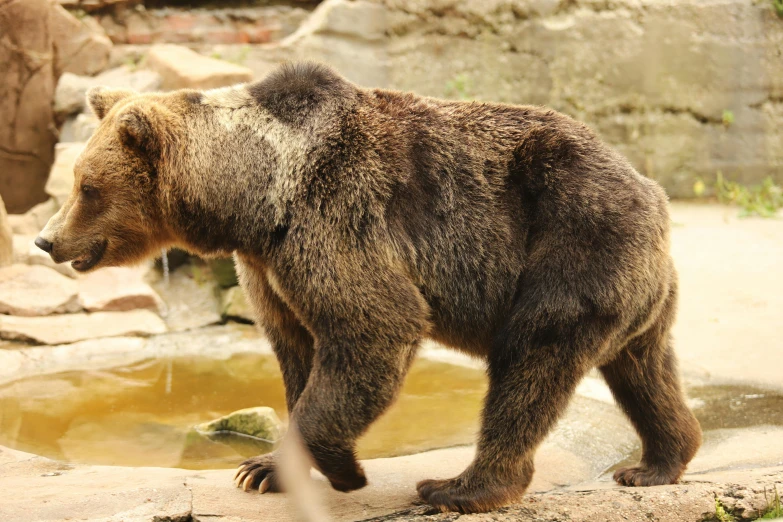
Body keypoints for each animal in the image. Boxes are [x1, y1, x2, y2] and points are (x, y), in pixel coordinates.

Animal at [35, 62, 704, 512]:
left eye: (86, 185)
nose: (46, 240)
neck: (255, 200)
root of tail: (653, 192)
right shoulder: (269, 266)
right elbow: (297, 351)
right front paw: (264, 469)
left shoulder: (336, 219)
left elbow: (372, 330)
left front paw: (333, 470)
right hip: (632, 286)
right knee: (643, 368)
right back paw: (656, 462)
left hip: (571, 241)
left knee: (531, 363)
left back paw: (459, 486)